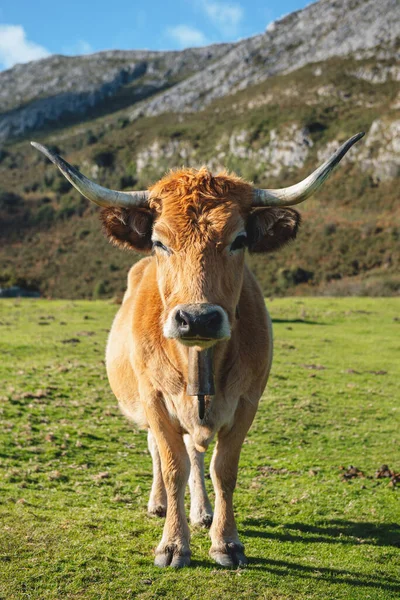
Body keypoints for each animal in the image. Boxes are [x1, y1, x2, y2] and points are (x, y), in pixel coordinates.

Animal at [31, 134, 362, 568]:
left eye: (239, 240)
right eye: (159, 242)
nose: (197, 318)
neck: (199, 363)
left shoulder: (247, 401)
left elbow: (223, 469)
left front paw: (226, 542)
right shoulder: (155, 399)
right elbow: (173, 466)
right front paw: (173, 545)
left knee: (197, 454)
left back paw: (202, 512)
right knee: (161, 452)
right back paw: (159, 504)